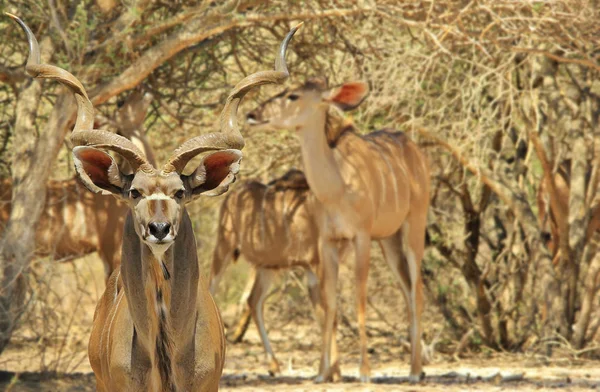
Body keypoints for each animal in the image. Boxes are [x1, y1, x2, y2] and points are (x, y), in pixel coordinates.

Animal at [211, 169, 324, 376]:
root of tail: (233, 194)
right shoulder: (316, 265)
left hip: (267, 268)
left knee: (253, 301)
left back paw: (274, 364)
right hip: (224, 247)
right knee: (211, 290)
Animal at [246, 78, 428, 382]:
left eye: (293, 95)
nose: (252, 115)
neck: (338, 185)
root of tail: (414, 149)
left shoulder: (361, 237)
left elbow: (359, 298)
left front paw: (365, 372)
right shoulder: (327, 242)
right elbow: (329, 301)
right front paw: (322, 373)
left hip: (415, 225)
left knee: (416, 288)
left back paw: (415, 372)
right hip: (388, 240)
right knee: (405, 288)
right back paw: (417, 367)